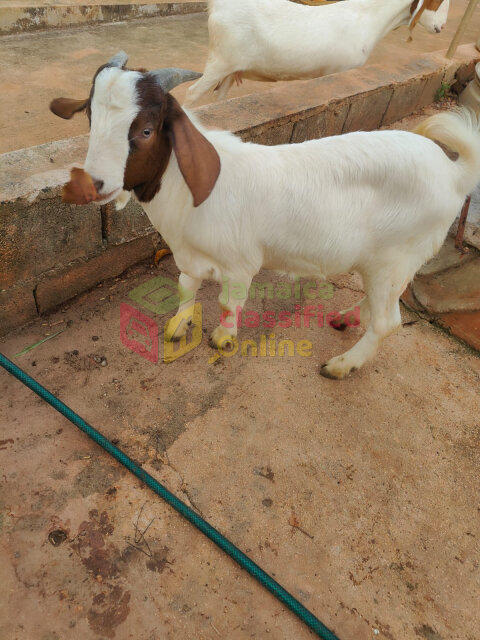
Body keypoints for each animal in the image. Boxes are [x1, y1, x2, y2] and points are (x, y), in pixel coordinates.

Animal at [51, 52, 480, 379]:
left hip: (396, 257)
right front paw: (178, 325)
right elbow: (186, 287)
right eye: (91, 118)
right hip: (388, 263)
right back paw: (345, 320)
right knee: (380, 305)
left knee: (388, 322)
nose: (92, 183)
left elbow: (229, 302)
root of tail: (455, 173)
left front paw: (222, 339)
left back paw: (342, 365)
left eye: (145, 131)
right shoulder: (188, 254)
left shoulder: (240, 262)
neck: (187, 191)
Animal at [184, 0, 450, 106]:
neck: (368, 18)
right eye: (438, 3)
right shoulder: (340, 70)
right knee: (191, 95)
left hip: (231, 66)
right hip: (219, 61)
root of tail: (219, 6)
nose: (442, 27)